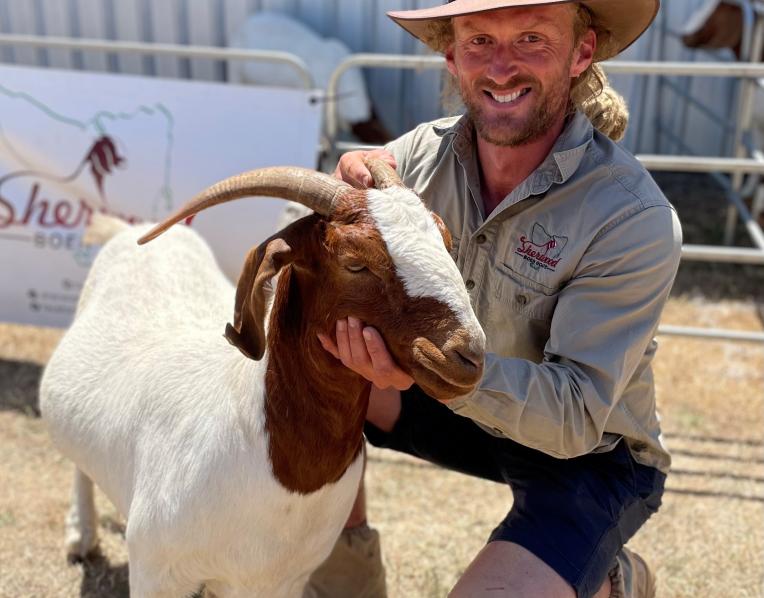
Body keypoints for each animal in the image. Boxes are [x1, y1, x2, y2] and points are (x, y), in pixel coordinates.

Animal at [39, 159, 486, 598]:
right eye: (356, 262)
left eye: (446, 242)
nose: (468, 355)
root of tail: (127, 232)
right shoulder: (156, 571)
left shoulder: (281, 581)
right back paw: (81, 537)